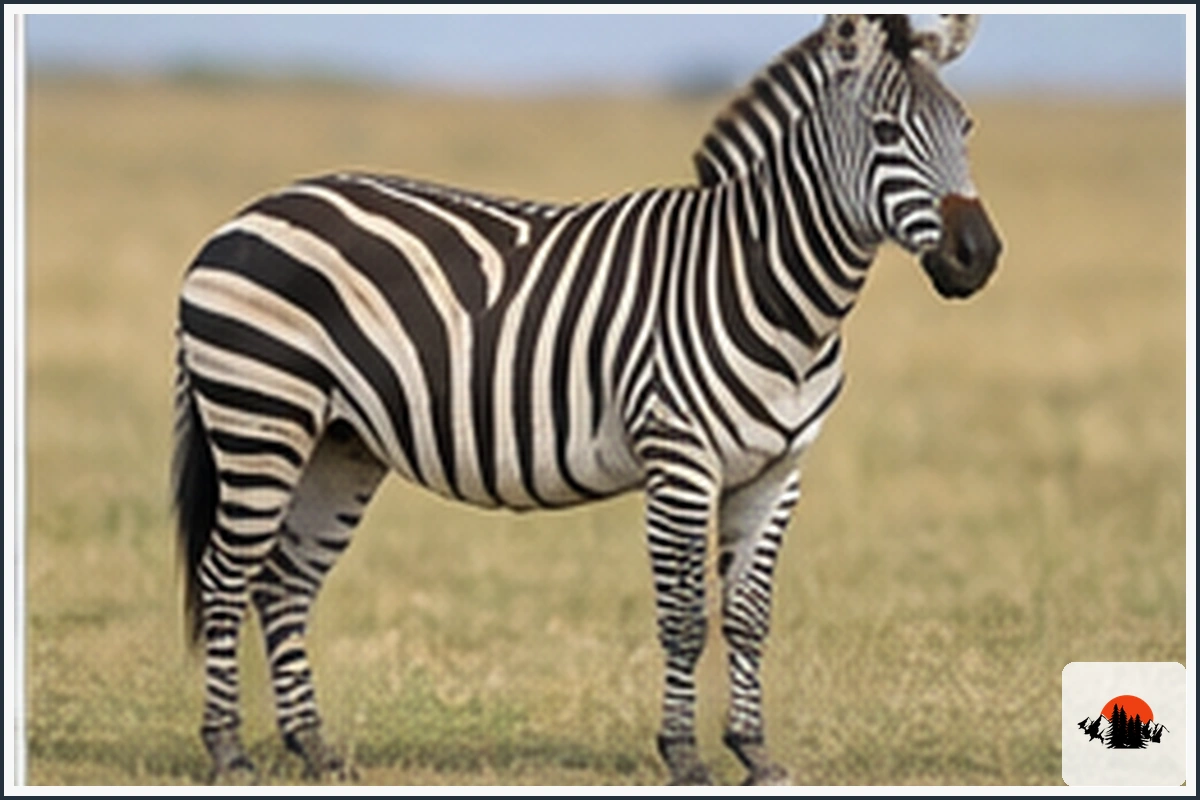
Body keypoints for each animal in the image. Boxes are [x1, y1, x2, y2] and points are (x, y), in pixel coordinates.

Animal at [172, 14, 1001, 785]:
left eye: (965, 127)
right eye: (886, 131)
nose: (978, 257)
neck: (769, 287)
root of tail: (244, 216)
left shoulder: (777, 472)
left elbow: (748, 616)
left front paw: (755, 751)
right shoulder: (681, 460)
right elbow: (684, 617)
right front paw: (684, 756)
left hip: (340, 443)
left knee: (284, 584)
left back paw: (313, 747)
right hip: (260, 417)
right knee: (224, 576)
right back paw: (228, 752)